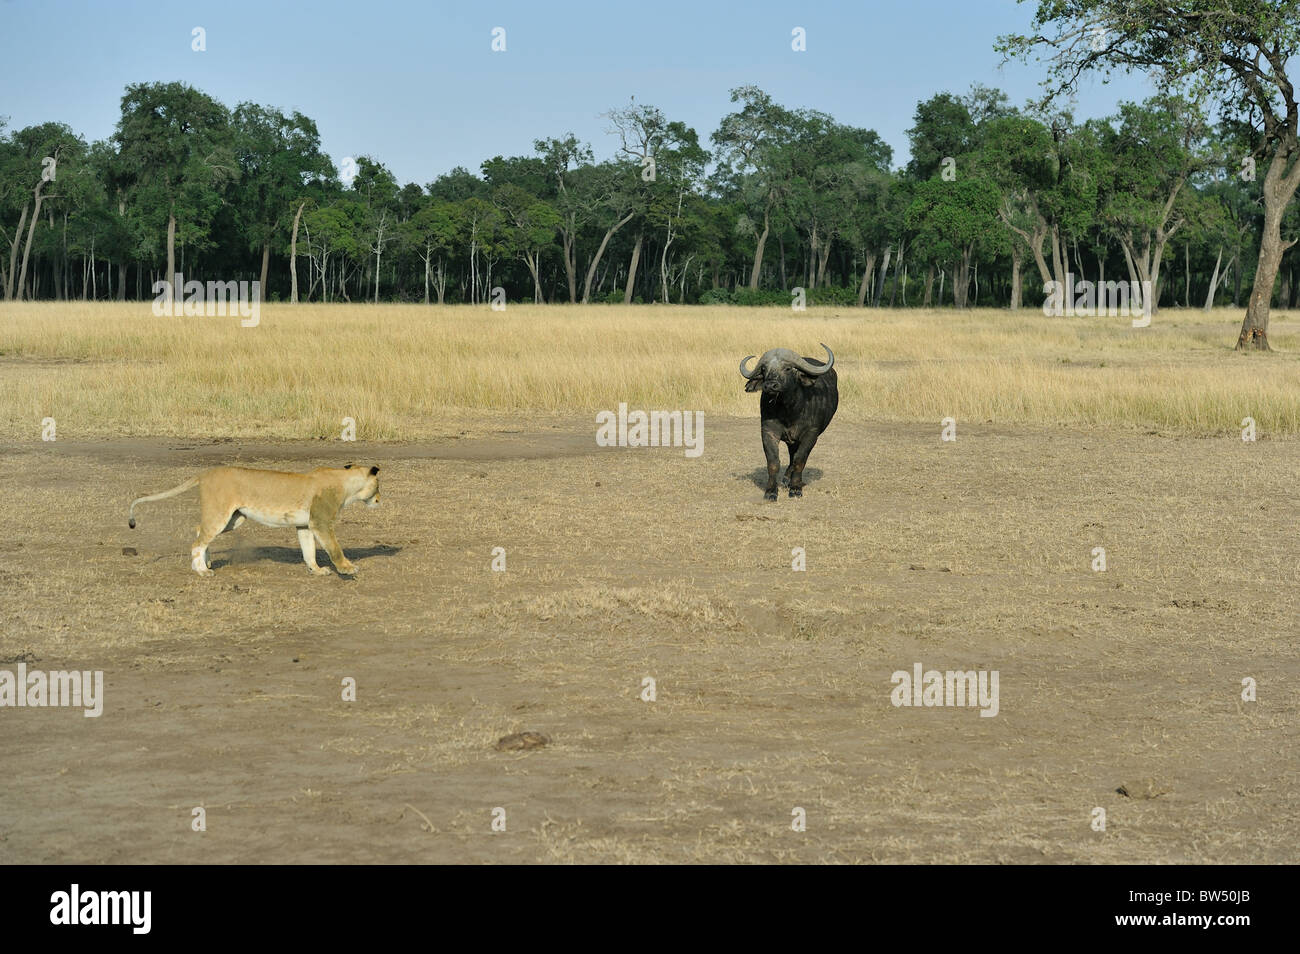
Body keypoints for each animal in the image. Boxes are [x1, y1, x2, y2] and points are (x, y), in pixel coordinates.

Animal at [128, 464, 381, 576]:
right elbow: (335, 548)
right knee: (197, 541)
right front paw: (347, 568)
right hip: (221, 515)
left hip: (234, 519)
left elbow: (308, 551)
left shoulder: (305, 525)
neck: (346, 482)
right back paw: (202, 571)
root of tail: (206, 473)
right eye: (379, 487)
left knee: (199, 530)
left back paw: (205, 563)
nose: (379, 500)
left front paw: (317, 570)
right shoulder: (321, 522)